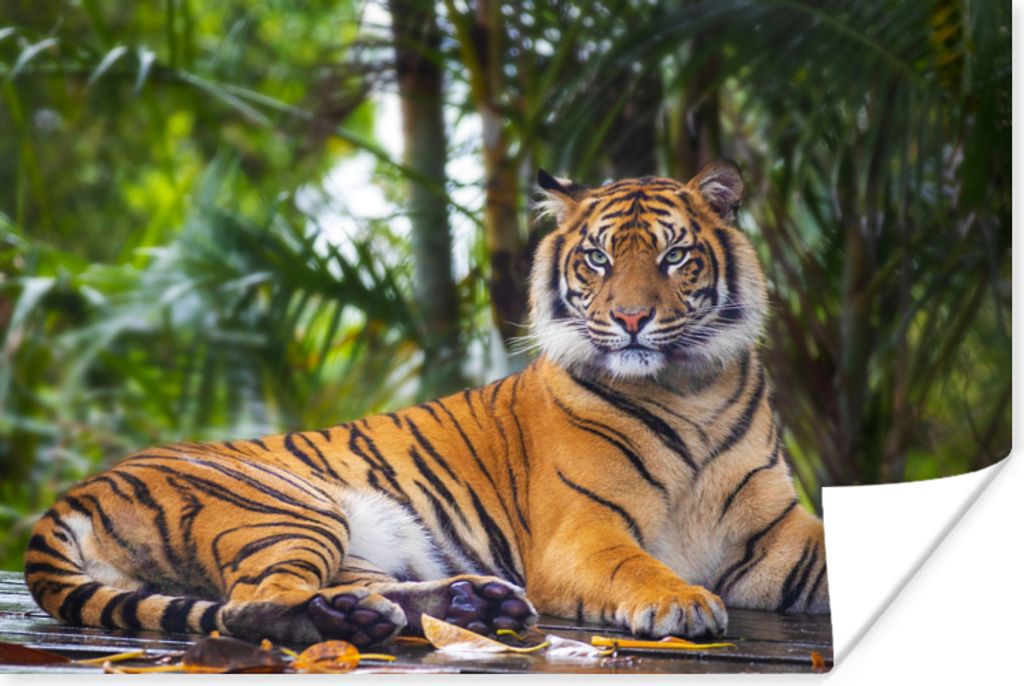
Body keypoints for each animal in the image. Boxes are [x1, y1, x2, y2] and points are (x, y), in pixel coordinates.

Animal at [24, 160, 828, 648]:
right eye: (598, 259)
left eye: (673, 256)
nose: (630, 319)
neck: (691, 388)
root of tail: (76, 492)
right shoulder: (584, 535)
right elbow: (640, 566)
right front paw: (683, 601)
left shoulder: (780, 535)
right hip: (291, 507)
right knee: (249, 607)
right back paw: (353, 619)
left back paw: (466, 605)